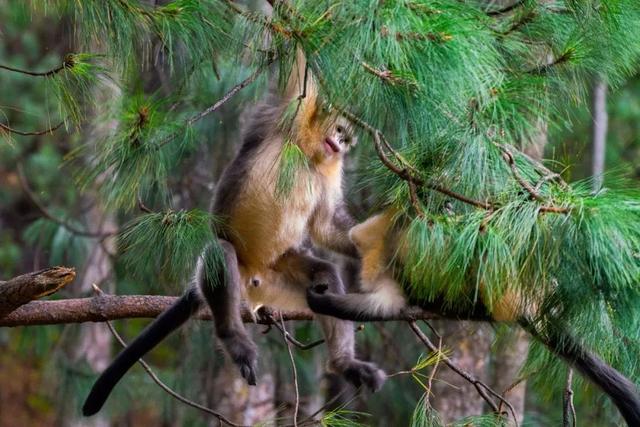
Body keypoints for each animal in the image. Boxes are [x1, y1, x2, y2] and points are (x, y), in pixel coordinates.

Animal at [82, 51, 382, 418]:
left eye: (347, 139)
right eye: (339, 130)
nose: (340, 145)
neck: (309, 151)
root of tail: (254, 277)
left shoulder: (330, 167)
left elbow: (324, 225)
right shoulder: (292, 108)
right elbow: (299, 65)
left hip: (277, 280)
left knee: (324, 274)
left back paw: (343, 363)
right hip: (238, 270)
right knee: (220, 253)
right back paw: (234, 338)